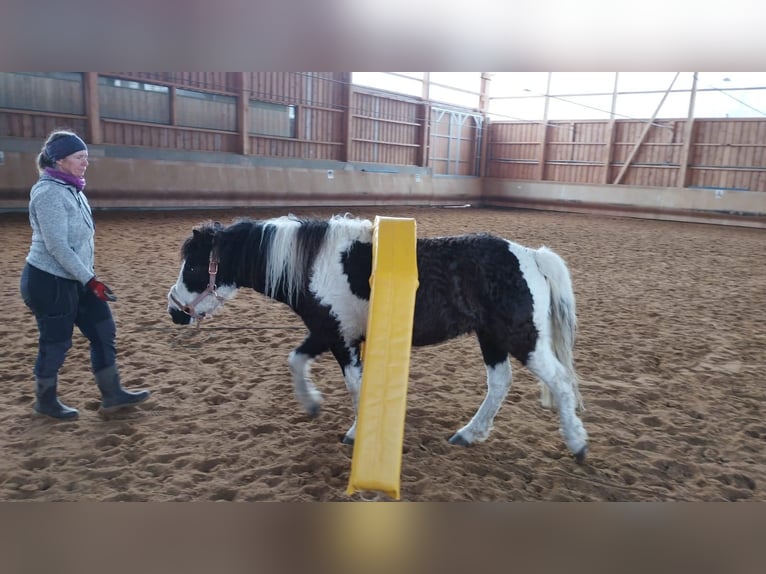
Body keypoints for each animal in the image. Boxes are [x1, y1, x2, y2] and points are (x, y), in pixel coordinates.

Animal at [166, 215, 588, 464]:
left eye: (193, 268)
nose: (174, 311)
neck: (314, 264)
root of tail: (531, 256)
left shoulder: (340, 338)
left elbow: (356, 386)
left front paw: (355, 434)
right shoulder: (328, 331)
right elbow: (296, 360)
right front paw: (312, 403)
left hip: (520, 337)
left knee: (559, 381)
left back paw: (578, 445)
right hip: (492, 338)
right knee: (500, 383)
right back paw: (469, 434)